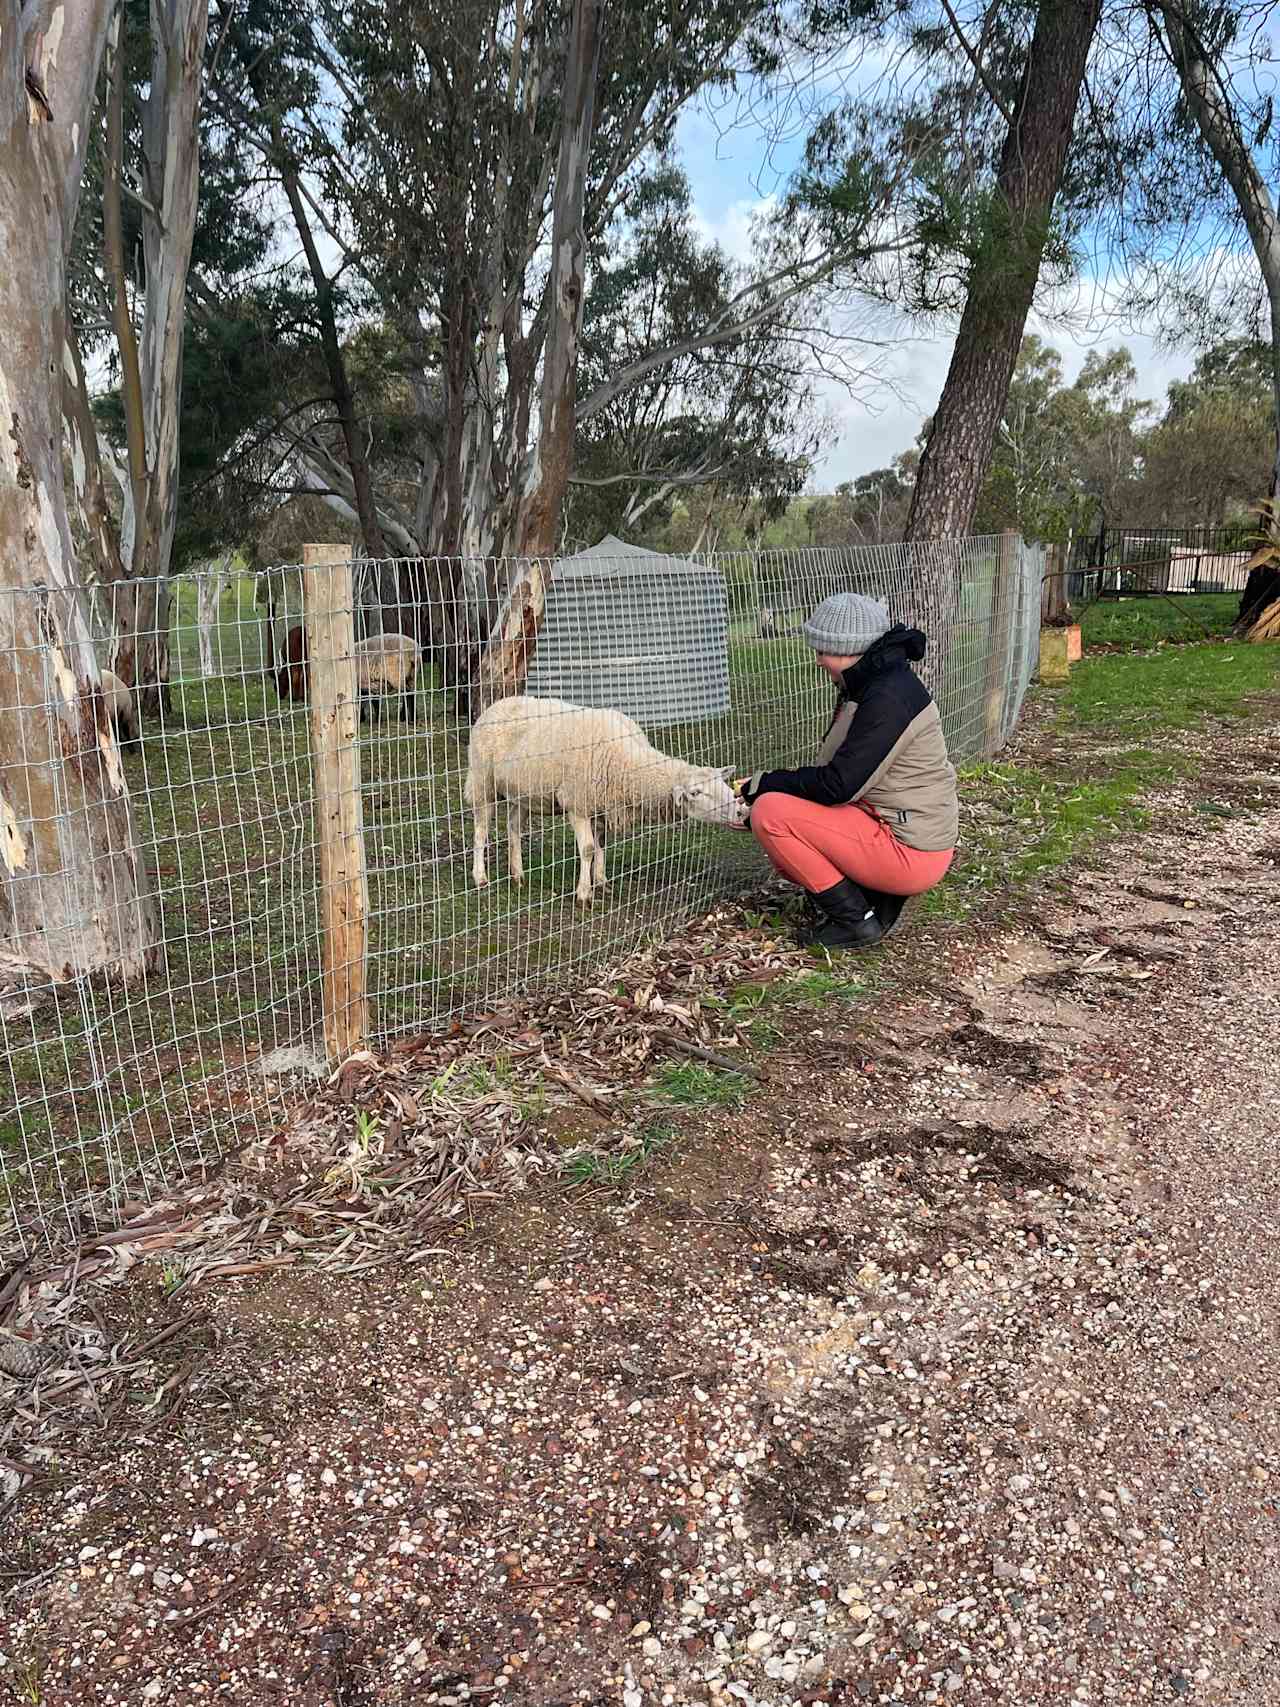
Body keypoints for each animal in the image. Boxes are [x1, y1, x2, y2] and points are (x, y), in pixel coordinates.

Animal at [467, 693, 747, 908]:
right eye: (696, 792)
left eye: (722, 783)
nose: (740, 812)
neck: (626, 763)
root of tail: (496, 704)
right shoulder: (578, 803)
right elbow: (589, 848)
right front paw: (584, 894)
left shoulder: (602, 806)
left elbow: (601, 844)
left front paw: (601, 882)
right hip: (483, 782)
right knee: (480, 832)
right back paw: (480, 878)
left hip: (523, 793)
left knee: (513, 827)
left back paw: (517, 875)